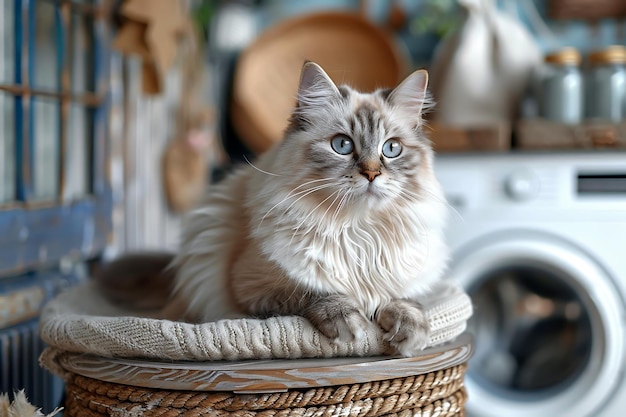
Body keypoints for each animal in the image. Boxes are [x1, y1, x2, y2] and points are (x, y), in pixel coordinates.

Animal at [97, 61, 446, 354]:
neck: (357, 229)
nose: (372, 174)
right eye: (342, 145)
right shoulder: (251, 287)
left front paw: (410, 330)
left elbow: (402, 299)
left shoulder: (404, 278)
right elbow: (314, 292)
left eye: (392, 149)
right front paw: (350, 321)